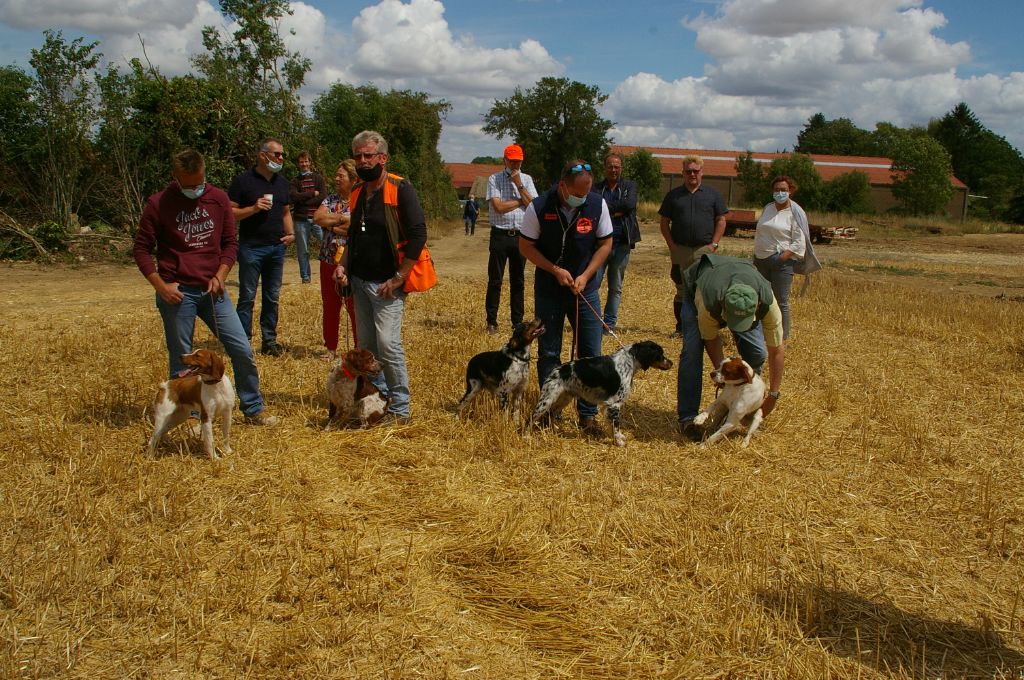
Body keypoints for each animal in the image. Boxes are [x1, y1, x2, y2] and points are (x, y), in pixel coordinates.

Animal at [532, 340, 675, 446]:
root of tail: (556, 370)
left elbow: (613, 426)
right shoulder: (614, 404)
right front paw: (619, 442)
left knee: (551, 413)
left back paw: (554, 430)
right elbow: (616, 425)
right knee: (532, 417)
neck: (630, 361)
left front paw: (618, 438)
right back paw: (528, 436)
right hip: (546, 400)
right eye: (660, 354)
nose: (672, 363)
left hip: (563, 399)